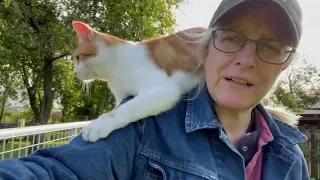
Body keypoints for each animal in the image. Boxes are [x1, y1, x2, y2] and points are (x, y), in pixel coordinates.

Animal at [72, 21, 208, 142]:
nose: (74, 72)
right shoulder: (121, 97)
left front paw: (99, 124)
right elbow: (115, 108)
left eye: (78, 57)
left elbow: (127, 107)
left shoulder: (165, 90)